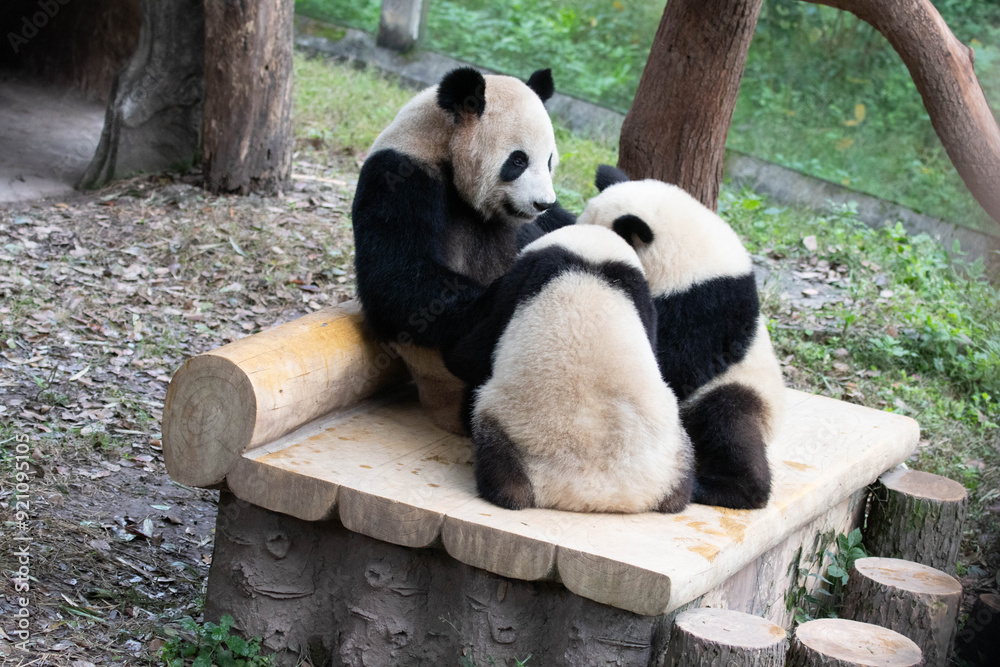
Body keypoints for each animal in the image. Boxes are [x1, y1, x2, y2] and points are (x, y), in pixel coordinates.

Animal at [352, 66, 575, 435]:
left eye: (549, 161)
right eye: (518, 160)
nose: (542, 203)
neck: (440, 142)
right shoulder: (399, 177)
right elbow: (399, 282)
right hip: (453, 378)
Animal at [443, 224, 694, 513]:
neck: (589, 260)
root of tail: (590, 495)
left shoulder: (520, 280)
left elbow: (471, 354)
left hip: (507, 432)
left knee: (501, 472)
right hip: (672, 455)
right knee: (681, 487)